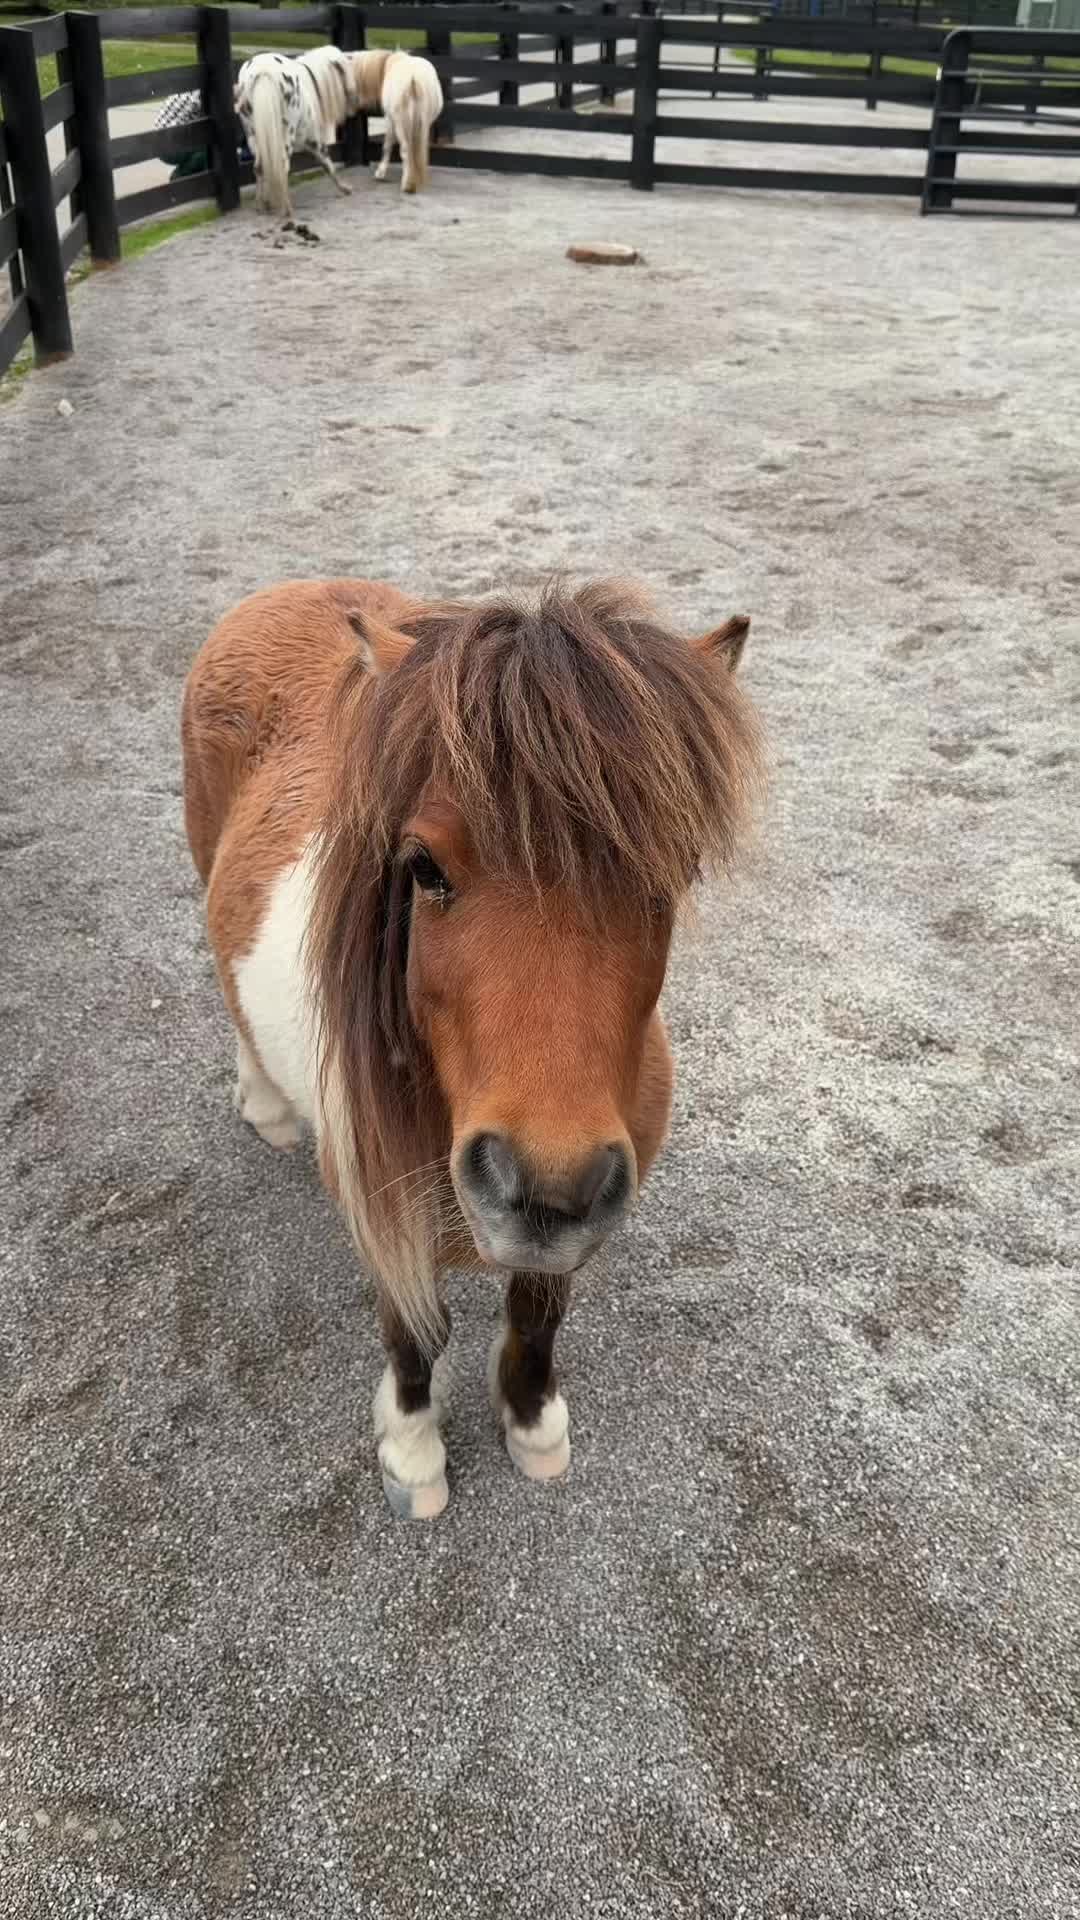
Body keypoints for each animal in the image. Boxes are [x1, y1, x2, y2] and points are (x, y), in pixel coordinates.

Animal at [181, 579, 763, 1519]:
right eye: (422, 867)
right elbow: (415, 1335)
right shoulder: (386, 1212)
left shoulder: (565, 1225)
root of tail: (282, 593)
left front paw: (531, 1425)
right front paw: (414, 1457)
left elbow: (536, 1314)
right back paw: (265, 1107)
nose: (545, 1184)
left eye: (670, 872)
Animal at [234, 46, 357, 217]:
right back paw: (286, 209)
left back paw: (261, 205)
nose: (356, 99)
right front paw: (344, 188)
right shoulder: (313, 139)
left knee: (259, 167)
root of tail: (262, 70)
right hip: (286, 133)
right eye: (346, 69)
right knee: (281, 165)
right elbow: (327, 162)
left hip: (253, 133)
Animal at [349, 49, 444, 194]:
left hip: (400, 124)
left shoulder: (389, 119)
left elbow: (387, 145)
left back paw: (408, 184)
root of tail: (413, 78)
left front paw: (380, 173)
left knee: (405, 150)